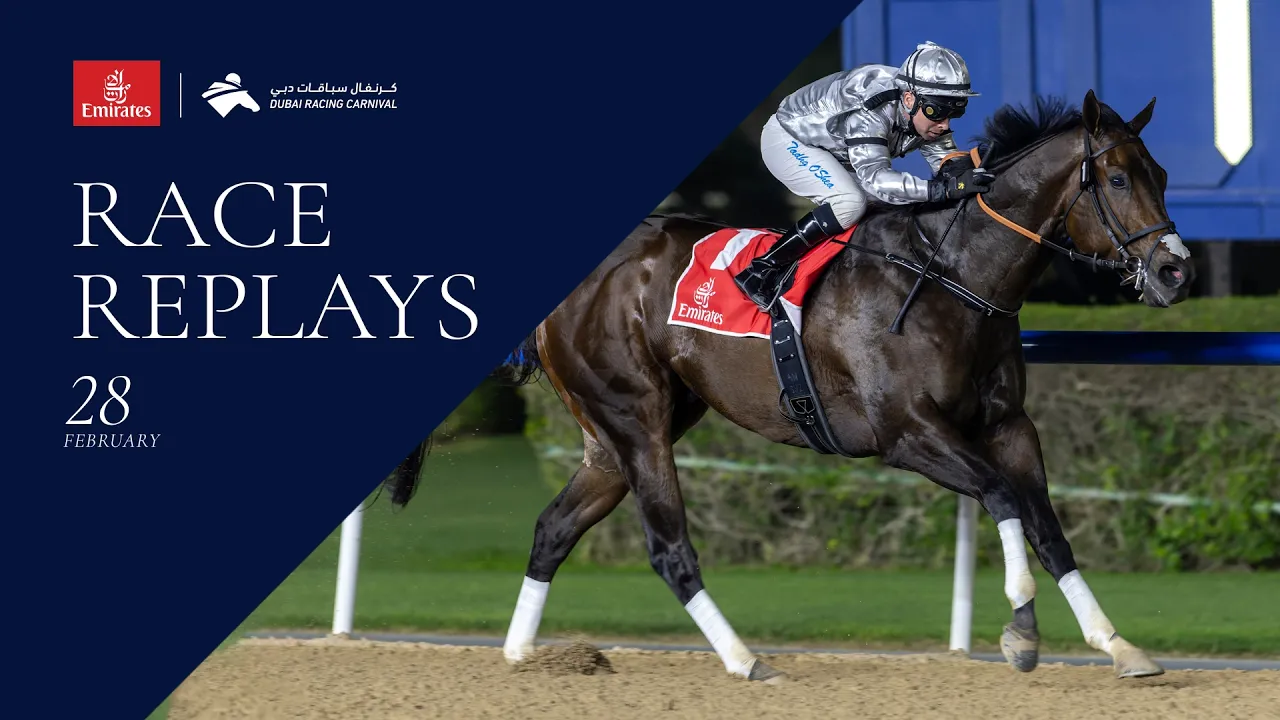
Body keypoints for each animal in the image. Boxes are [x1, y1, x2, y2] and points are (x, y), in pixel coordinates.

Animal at [386, 90, 1196, 683]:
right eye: (1117, 179)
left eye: (1160, 175)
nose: (1176, 270)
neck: (953, 275)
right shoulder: (907, 434)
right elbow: (1001, 498)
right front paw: (1021, 631)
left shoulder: (1009, 426)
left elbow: (1048, 528)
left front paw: (1119, 646)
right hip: (635, 418)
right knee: (668, 548)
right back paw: (746, 661)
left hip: (615, 435)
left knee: (554, 527)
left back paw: (525, 655)